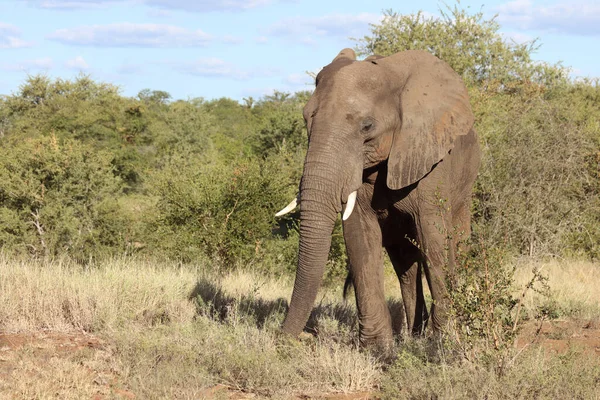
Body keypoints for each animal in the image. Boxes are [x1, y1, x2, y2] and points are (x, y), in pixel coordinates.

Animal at [278, 47, 482, 350]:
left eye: (367, 126)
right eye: (306, 119)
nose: (285, 337)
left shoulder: (432, 160)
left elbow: (434, 242)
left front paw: (443, 344)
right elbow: (360, 239)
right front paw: (378, 350)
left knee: (454, 246)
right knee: (405, 264)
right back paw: (414, 336)